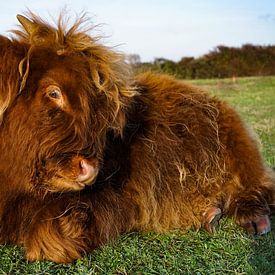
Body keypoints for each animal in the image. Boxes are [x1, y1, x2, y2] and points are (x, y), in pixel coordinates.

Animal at [0, 14, 274, 264]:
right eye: (54, 92)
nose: (89, 169)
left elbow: (49, 240)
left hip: (238, 147)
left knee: (259, 183)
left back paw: (254, 220)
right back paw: (209, 214)